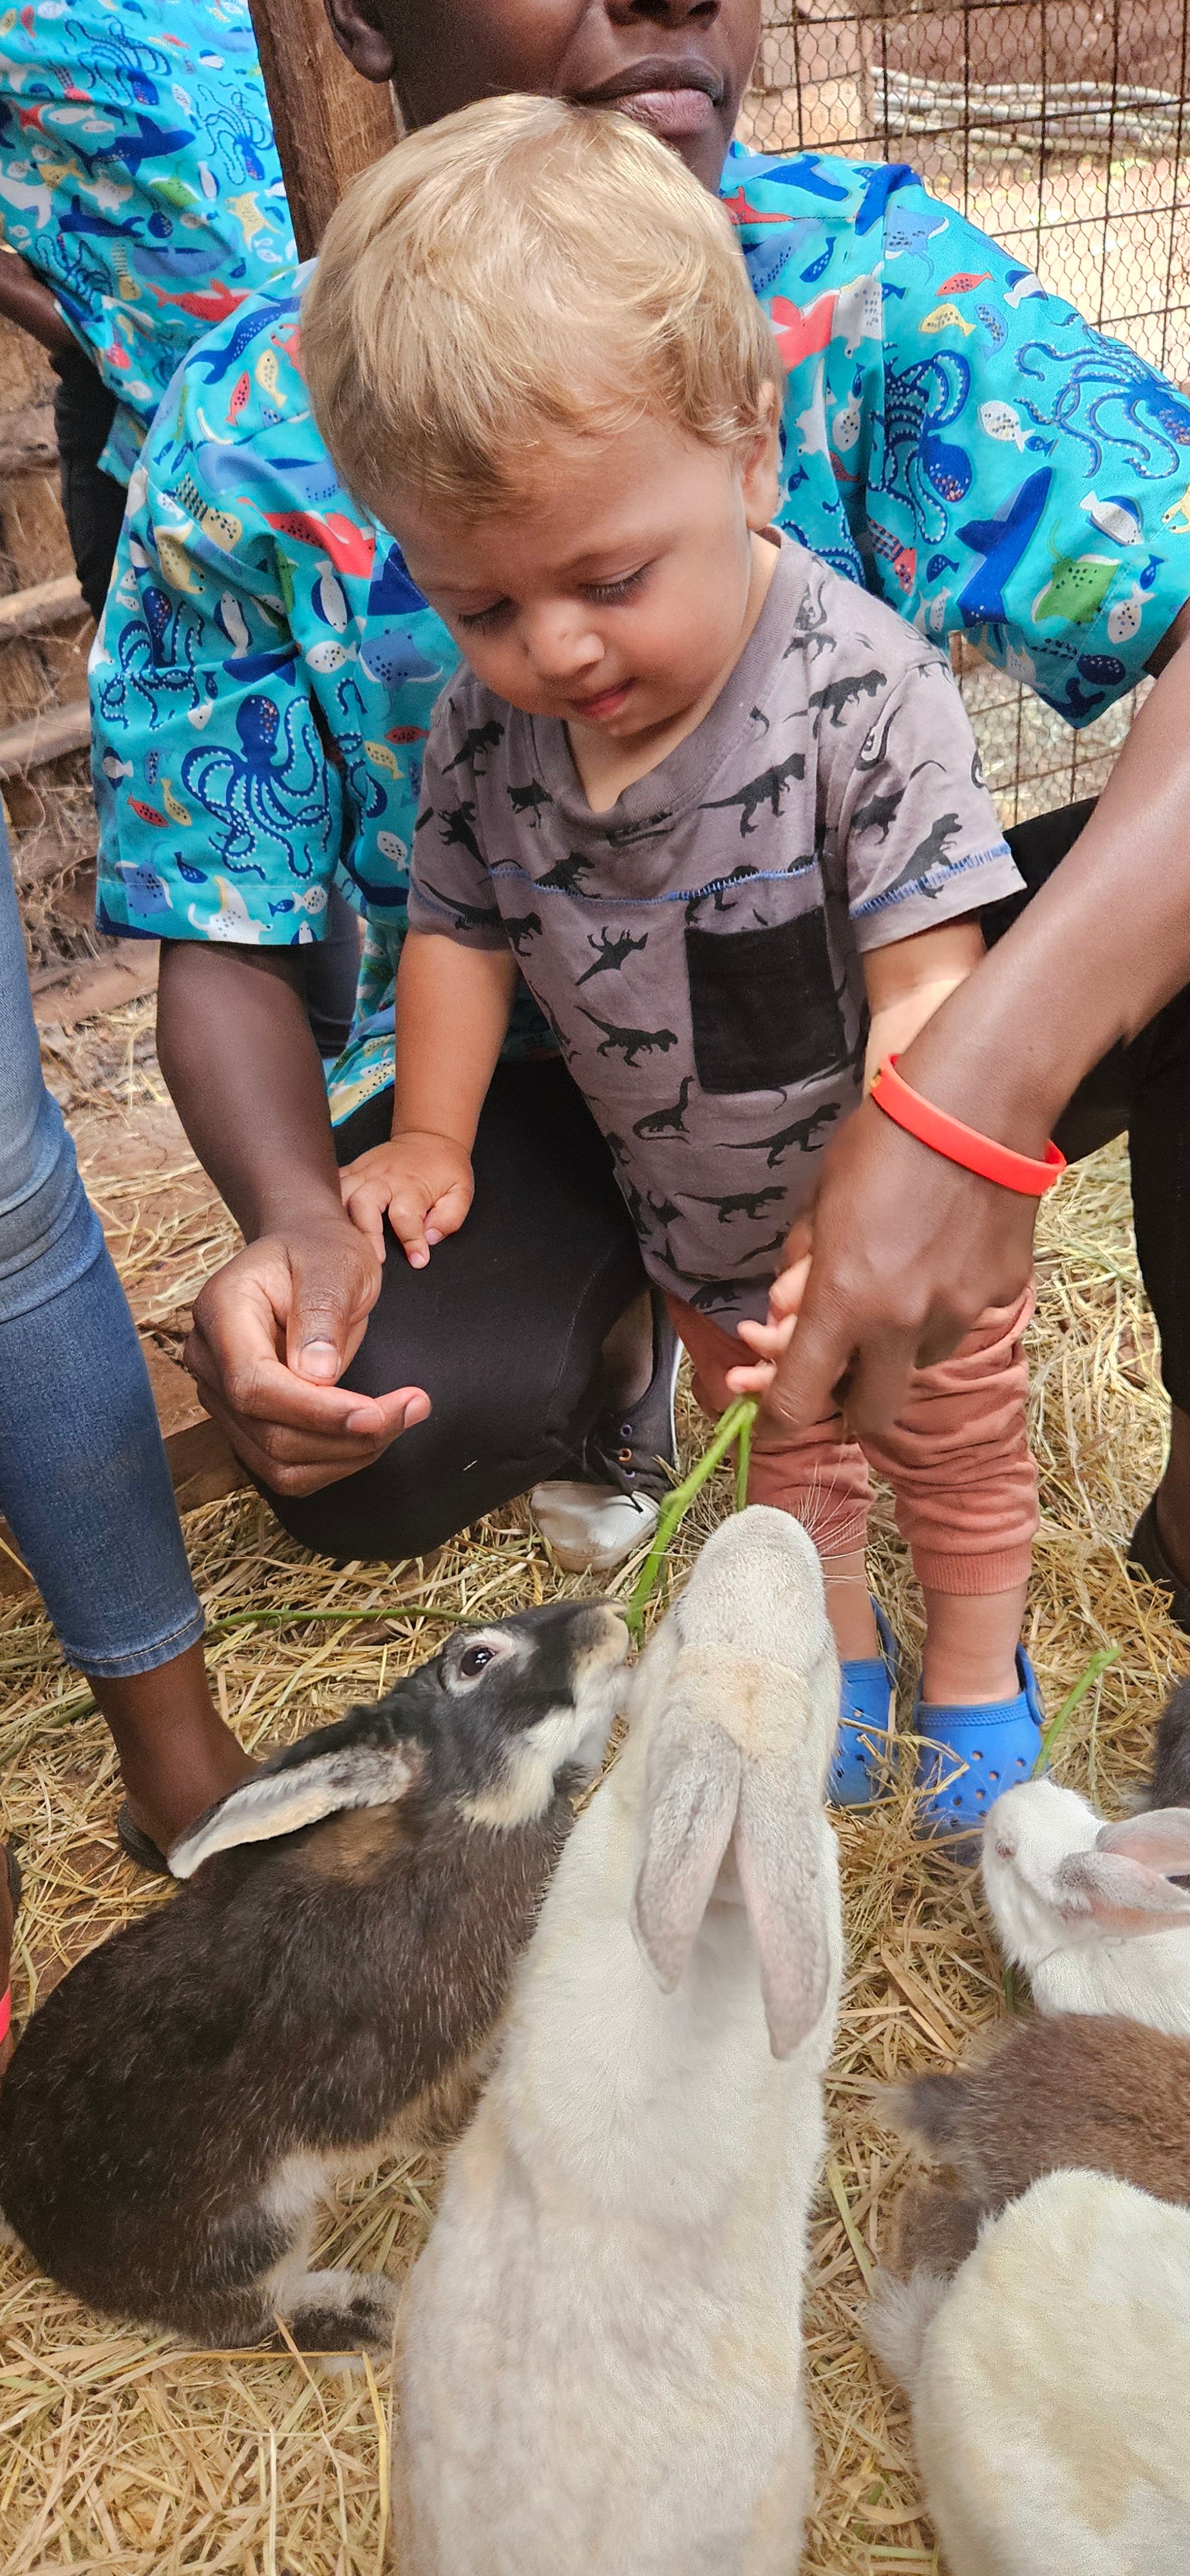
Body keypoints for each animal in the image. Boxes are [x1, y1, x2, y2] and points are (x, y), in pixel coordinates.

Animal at [0, 1607, 631, 2360]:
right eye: (476, 1659)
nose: (611, 1619)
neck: (450, 1828)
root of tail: (38, 2235)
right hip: (252, 2234)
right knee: (254, 2320)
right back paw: (370, 2314)